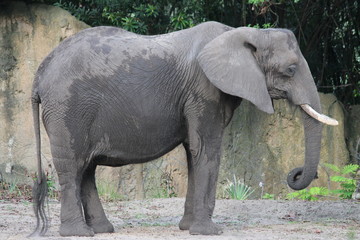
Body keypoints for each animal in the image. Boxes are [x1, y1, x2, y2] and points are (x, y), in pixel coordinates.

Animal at [31, 21, 338, 237]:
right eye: (290, 70)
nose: (295, 174)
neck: (244, 34)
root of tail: (40, 71)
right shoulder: (203, 90)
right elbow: (207, 149)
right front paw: (209, 232)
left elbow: (194, 151)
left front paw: (187, 227)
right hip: (67, 109)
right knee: (72, 166)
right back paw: (78, 233)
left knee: (87, 169)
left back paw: (101, 230)